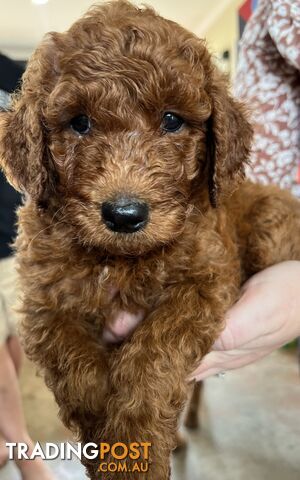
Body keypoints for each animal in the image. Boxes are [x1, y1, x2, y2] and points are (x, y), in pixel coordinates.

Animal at [0, 1, 300, 478]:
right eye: (79, 123)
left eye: (172, 120)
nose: (125, 215)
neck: (121, 258)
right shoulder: (43, 300)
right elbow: (73, 362)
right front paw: (104, 434)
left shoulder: (205, 280)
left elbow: (155, 351)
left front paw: (134, 450)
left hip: (271, 229)